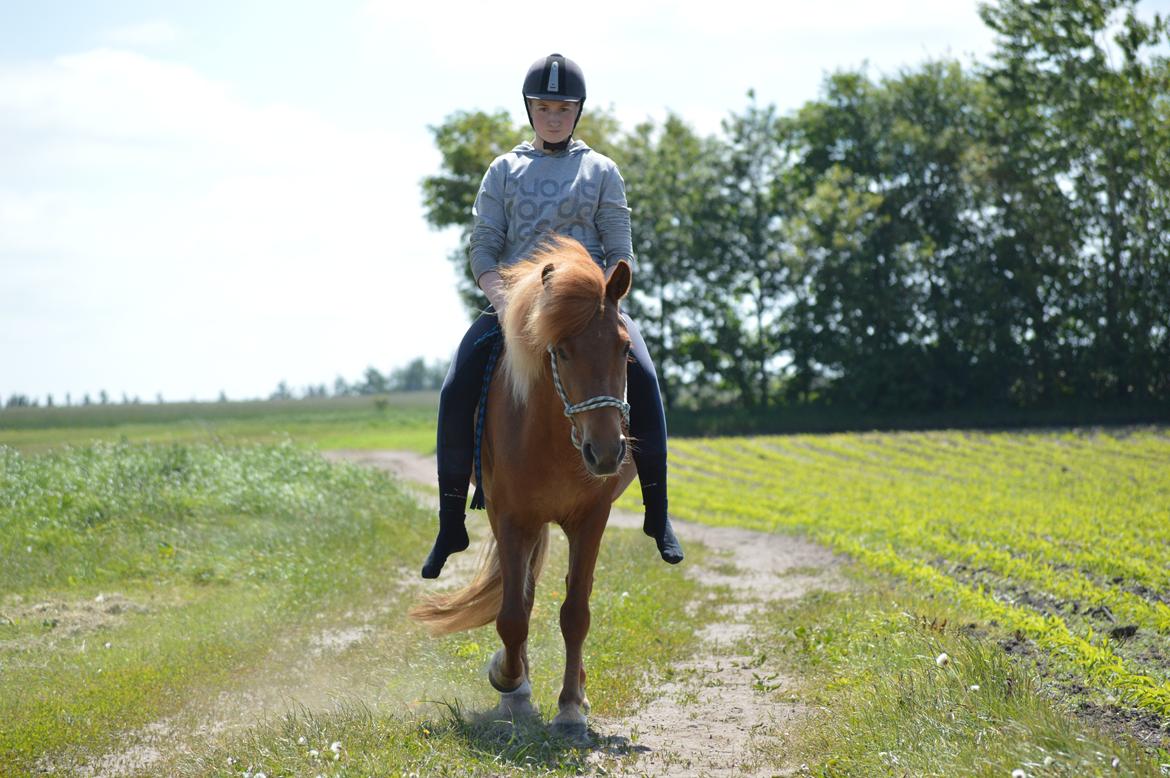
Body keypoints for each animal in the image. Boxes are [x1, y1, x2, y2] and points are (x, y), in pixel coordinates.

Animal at [407, 235, 636, 734]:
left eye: (625, 349)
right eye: (562, 350)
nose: (606, 452)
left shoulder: (591, 519)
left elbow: (575, 612)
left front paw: (570, 707)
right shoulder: (511, 517)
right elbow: (513, 614)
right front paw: (509, 683)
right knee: (522, 598)